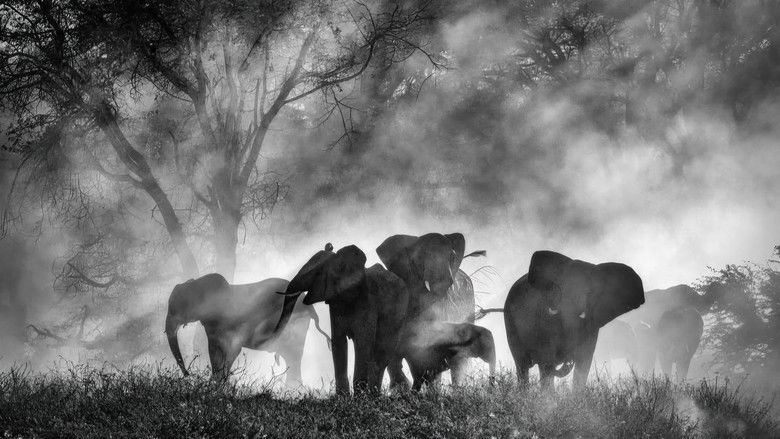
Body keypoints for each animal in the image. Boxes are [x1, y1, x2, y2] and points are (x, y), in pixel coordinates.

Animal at [165, 273, 330, 383]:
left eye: (177, 308)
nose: (189, 376)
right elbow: (215, 350)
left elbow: (230, 350)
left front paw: (218, 385)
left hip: (296, 324)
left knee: (293, 356)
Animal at [276, 243, 409, 395]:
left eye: (317, 274)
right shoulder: (335, 304)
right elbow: (338, 342)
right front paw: (342, 396)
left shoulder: (367, 302)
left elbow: (363, 343)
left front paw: (359, 397)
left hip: (399, 314)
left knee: (382, 353)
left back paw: (373, 395)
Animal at [504, 250, 645, 389]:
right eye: (560, 289)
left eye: (590, 292)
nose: (568, 360)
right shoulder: (542, 318)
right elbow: (547, 359)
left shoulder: (592, 325)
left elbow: (584, 362)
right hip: (510, 322)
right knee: (523, 365)